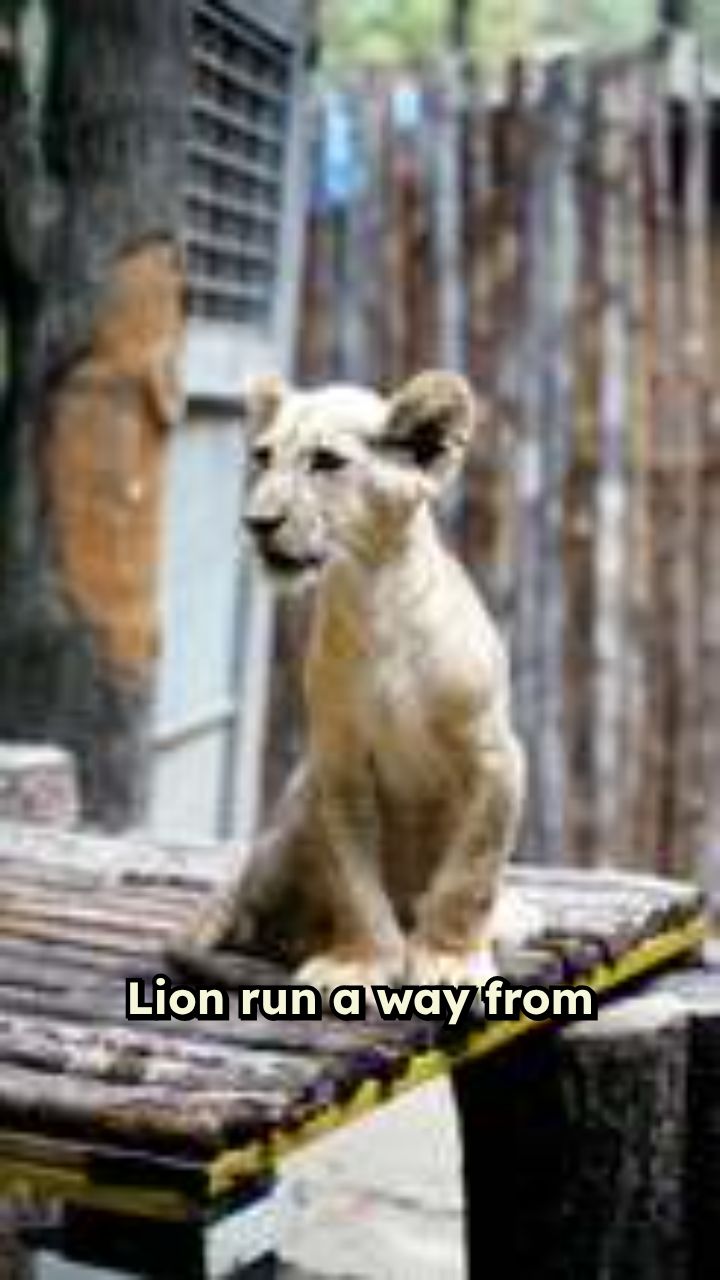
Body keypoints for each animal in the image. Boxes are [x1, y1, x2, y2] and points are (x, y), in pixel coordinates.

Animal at [172, 370, 528, 991]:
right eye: (263, 456)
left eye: (326, 462)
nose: (257, 523)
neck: (372, 598)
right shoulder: (335, 766)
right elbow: (353, 882)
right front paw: (358, 961)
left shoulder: (497, 758)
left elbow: (472, 873)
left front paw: (451, 959)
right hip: (287, 821)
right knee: (255, 916)